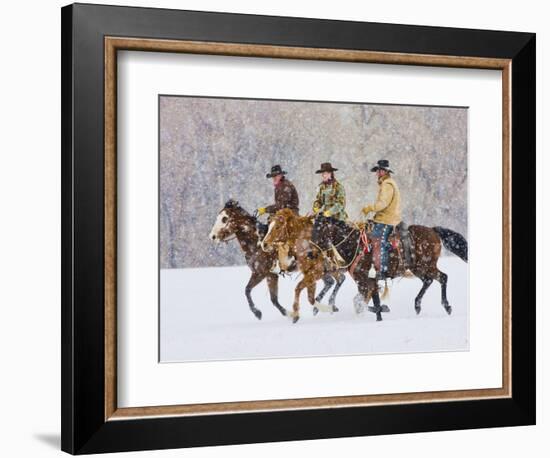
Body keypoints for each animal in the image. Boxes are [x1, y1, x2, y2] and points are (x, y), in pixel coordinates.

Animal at [209, 200, 342, 322]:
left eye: (224, 219)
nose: (212, 236)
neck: (256, 244)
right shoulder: (266, 274)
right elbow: (260, 294)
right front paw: (278, 313)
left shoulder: (262, 274)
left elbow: (257, 294)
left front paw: (260, 313)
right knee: (333, 281)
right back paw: (324, 307)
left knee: (337, 280)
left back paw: (328, 306)